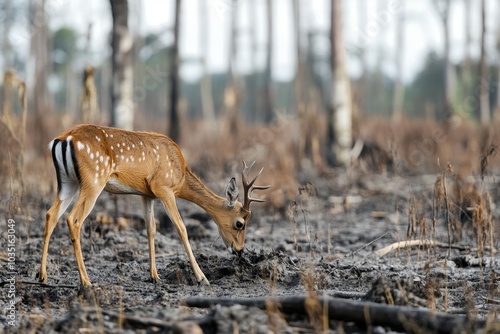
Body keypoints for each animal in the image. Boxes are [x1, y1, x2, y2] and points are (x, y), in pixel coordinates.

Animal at [37, 124, 270, 286]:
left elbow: (151, 229)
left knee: (51, 214)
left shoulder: (146, 193)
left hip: (68, 182)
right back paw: (86, 281)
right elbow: (181, 228)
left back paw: (42, 276)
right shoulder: (163, 187)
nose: (239, 250)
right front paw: (202, 277)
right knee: (73, 219)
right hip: (93, 180)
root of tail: (62, 139)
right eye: (240, 223)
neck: (180, 176)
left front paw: (154, 276)